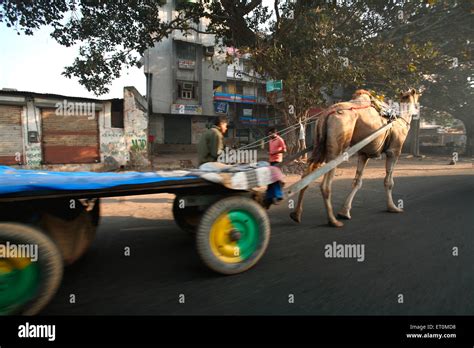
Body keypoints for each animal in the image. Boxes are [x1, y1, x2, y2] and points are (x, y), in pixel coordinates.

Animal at [290, 88, 420, 227]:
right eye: (417, 96)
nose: (418, 109)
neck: (401, 118)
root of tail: (327, 114)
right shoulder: (394, 151)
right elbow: (389, 182)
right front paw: (393, 207)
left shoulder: (364, 154)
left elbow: (357, 181)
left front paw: (344, 212)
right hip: (337, 145)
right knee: (325, 184)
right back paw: (333, 221)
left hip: (319, 145)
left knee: (306, 177)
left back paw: (296, 215)